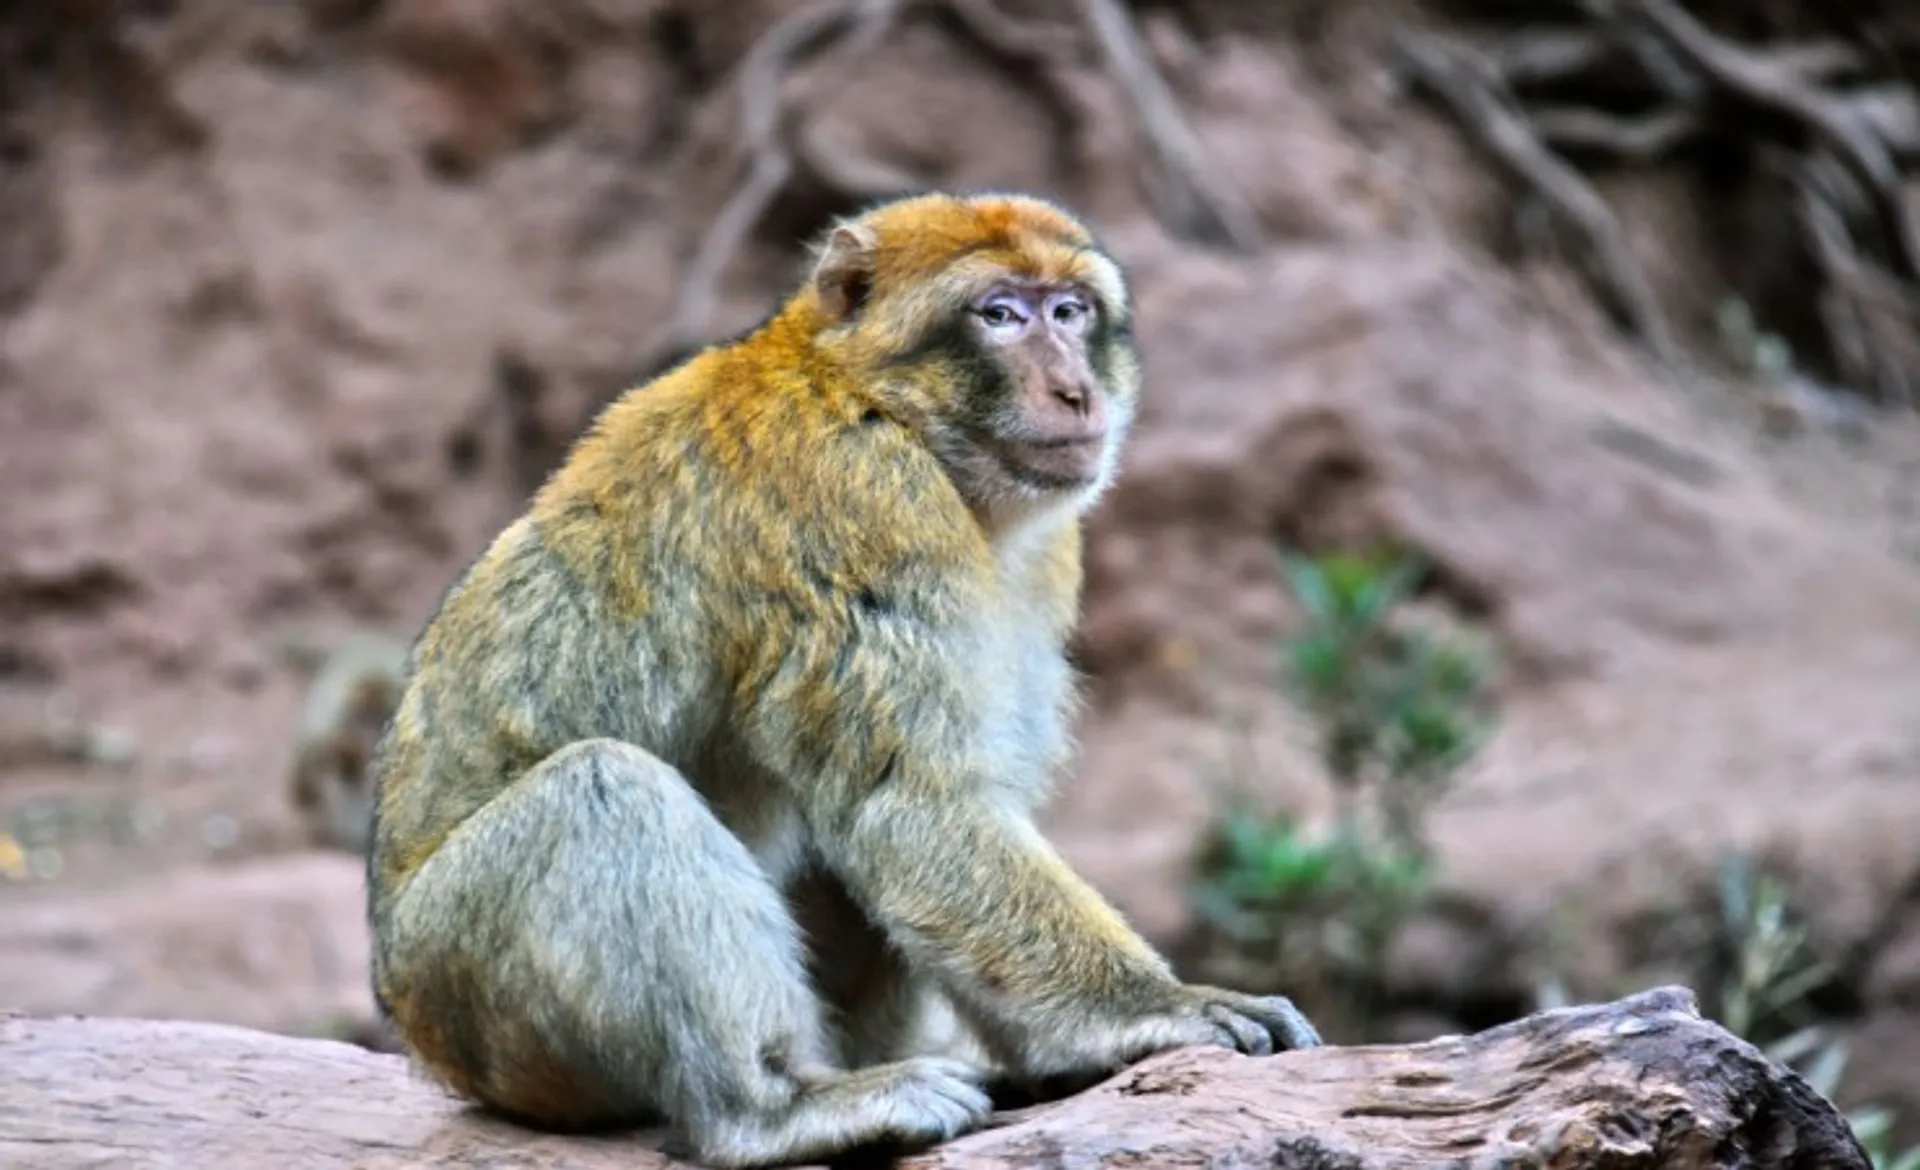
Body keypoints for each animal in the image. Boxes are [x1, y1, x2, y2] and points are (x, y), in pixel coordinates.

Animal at [365, 190, 1321, 1168]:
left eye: (1068, 310)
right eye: (1000, 315)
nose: (1076, 392)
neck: (876, 399)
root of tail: (416, 1025)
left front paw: (1060, 1057)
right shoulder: (859, 496)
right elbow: (912, 804)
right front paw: (1155, 1012)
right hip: (470, 987)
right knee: (603, 789)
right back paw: (773, 1109)